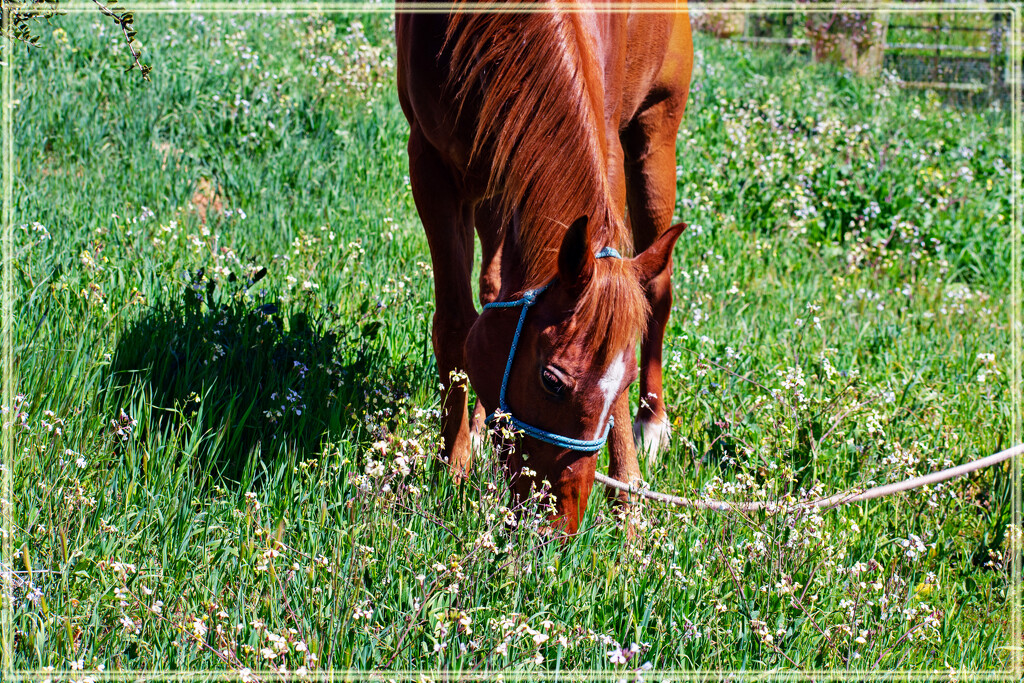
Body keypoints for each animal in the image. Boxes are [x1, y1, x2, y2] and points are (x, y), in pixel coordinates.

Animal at [395, 0, 692, 532]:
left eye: (625, 383)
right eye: (551, 382)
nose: (562, 523)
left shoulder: (606, 148)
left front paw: (629, 503)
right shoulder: (432, 164)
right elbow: (456, 326)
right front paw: (453, 468)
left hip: (654, 137)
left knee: (657, 291)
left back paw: (653, 424)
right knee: (492, 287)